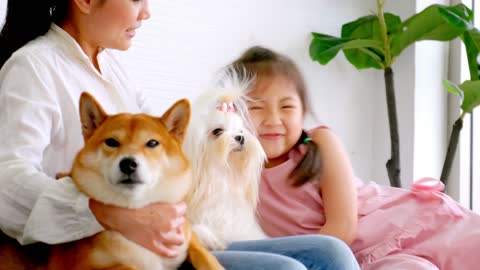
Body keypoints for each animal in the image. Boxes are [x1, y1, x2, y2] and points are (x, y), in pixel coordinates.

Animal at [0, 93, 224, 270]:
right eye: (111, 142)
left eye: (152, 143)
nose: (128, 163)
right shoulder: (79, 266)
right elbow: (129, 267)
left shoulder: (185, 236)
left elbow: (204, 255)